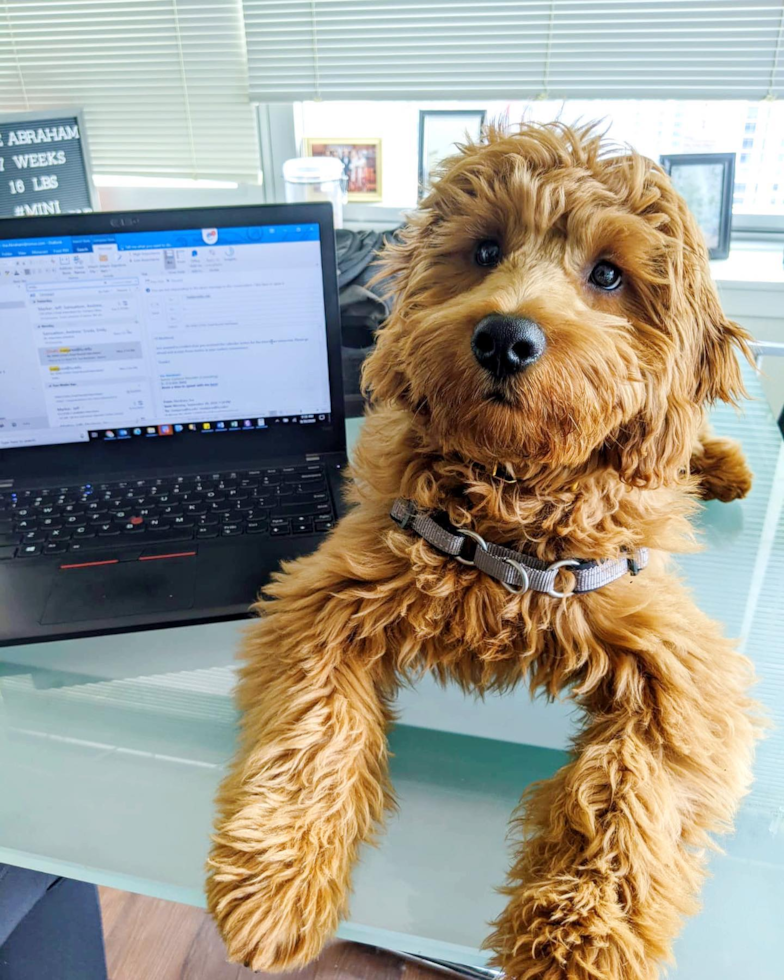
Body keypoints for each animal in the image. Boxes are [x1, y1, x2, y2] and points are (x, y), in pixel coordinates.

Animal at [207, 124, 760, 980]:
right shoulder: (327, 595)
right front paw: (276, 878)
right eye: (486, 248)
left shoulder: (682, 669)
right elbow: (310, 730)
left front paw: (576, 938)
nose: (504, 337)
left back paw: (724, 467)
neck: (508, 512)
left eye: (608, 273)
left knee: (685, 436)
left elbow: (633, 789)